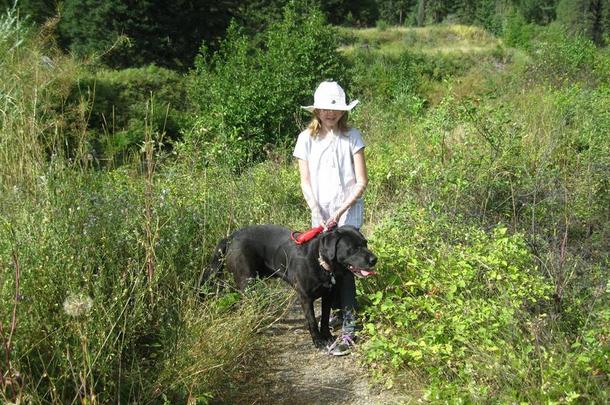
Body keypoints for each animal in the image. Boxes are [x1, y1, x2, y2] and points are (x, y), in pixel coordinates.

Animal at [202, 224, 376, 348]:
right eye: (353, 249)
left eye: (365, 243)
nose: (374, 259)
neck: (321, 262)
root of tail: (229, 237)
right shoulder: (305, 298)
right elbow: (312, 321)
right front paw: (318, 342)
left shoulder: (328, 295)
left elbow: (325, 318)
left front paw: (327, 337)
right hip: (247, 281)